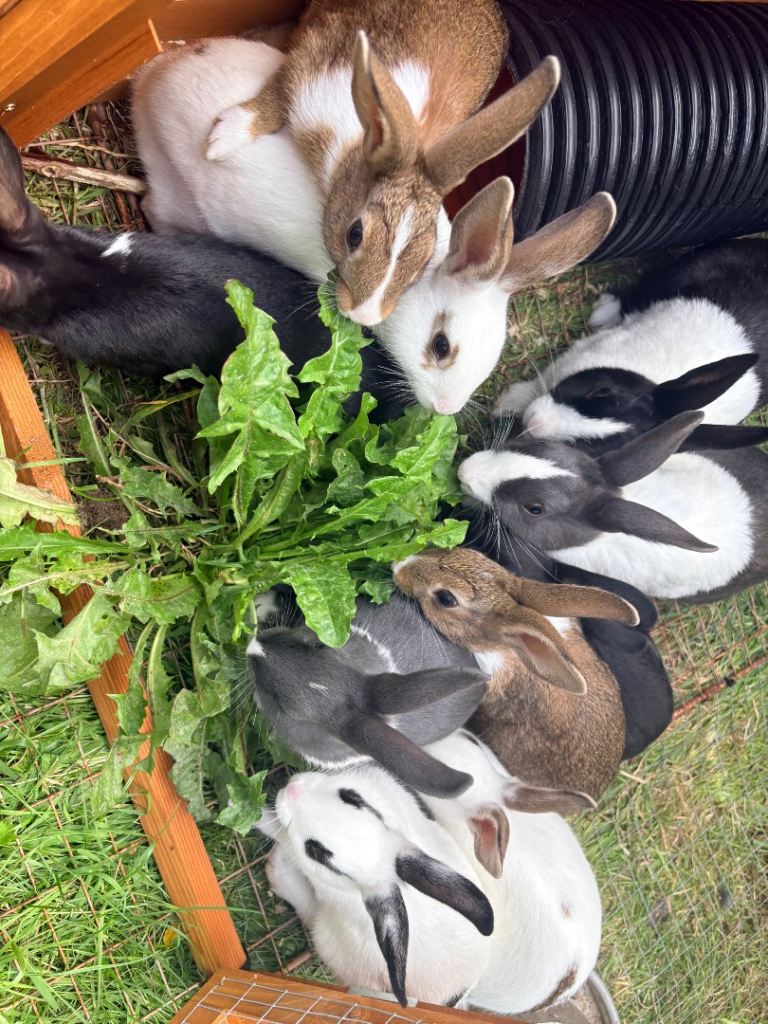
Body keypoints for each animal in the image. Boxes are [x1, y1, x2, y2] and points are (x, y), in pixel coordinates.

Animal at [204, 0, 560, 326]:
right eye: (355, 234)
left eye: (425, 258)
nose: (364, 315)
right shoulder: (306, 68)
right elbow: (276, 96)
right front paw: (222, 138)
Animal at [494, 239, 768, 453]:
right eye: (601, 390)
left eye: (597, 447)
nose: (535, 423)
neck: (648, 377)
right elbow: (538, 382)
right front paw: (506, 403)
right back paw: (602, 312)